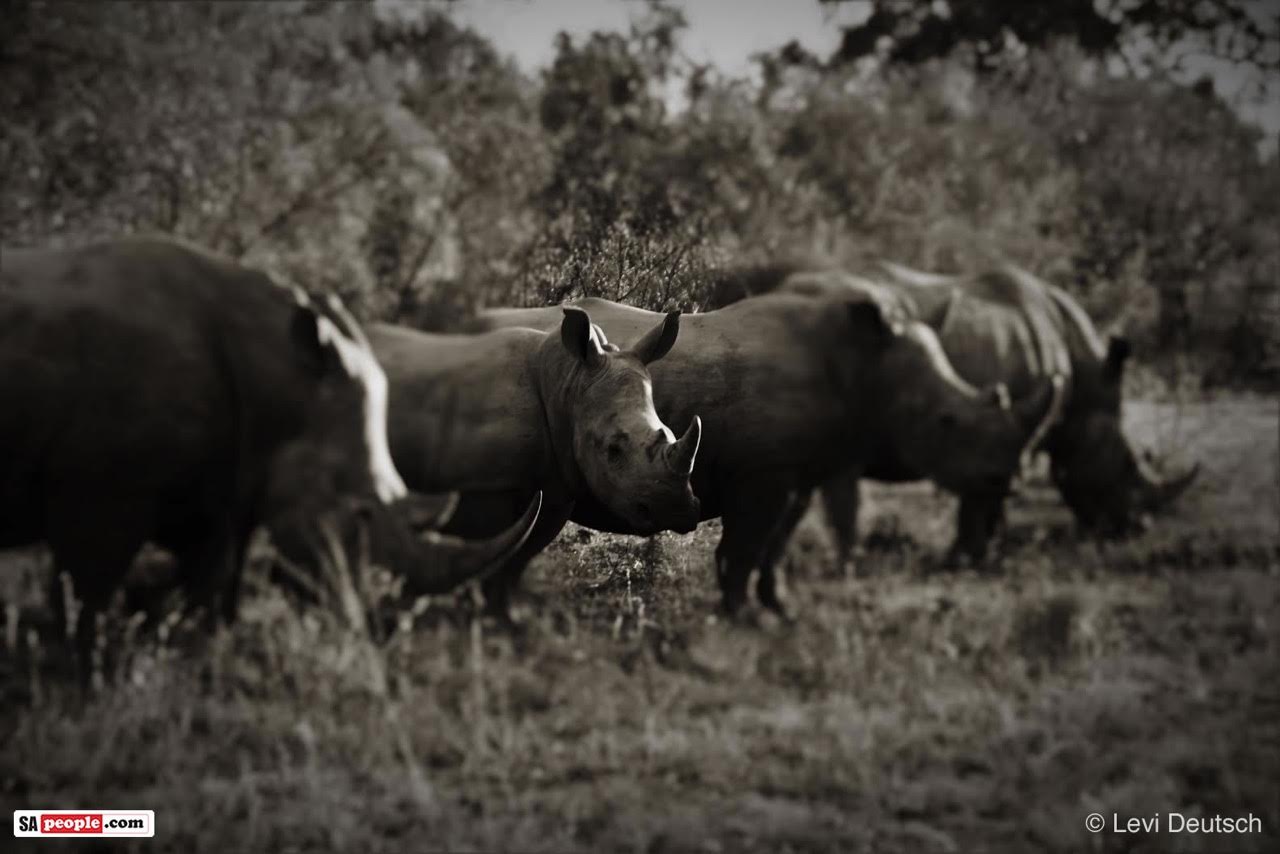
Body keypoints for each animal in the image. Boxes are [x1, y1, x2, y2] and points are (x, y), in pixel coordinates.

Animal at [0, 234, 540, 665]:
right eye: (357, 517)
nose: (377, 624)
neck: (282, 380)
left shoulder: (223, 482)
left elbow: (212, 586)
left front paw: (191, 655)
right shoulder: (103, 491)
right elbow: (85, 598)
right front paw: (83, 677)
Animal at [366, 311, 706, 617]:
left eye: (670, 432)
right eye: (613, 449)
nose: (679, 510)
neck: (567, 386)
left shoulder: (557, 485)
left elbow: (515, 561)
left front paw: (504, 621)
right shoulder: (485, 486)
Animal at [465, 294, 1054, 614]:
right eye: (946, 422)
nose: (1004, 482)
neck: (863, 366)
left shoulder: (799, 470)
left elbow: (777, 544)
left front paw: (779, 607)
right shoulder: (763, 472)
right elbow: (748, 545)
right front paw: (740, 613)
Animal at [711, 263, 1198, 563]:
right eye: (1127, 465)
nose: (1135, 528)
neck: (1082, 376)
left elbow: (994, 489)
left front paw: (991, 552)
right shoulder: (995, 427)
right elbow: (981, 493)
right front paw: (968, 557)